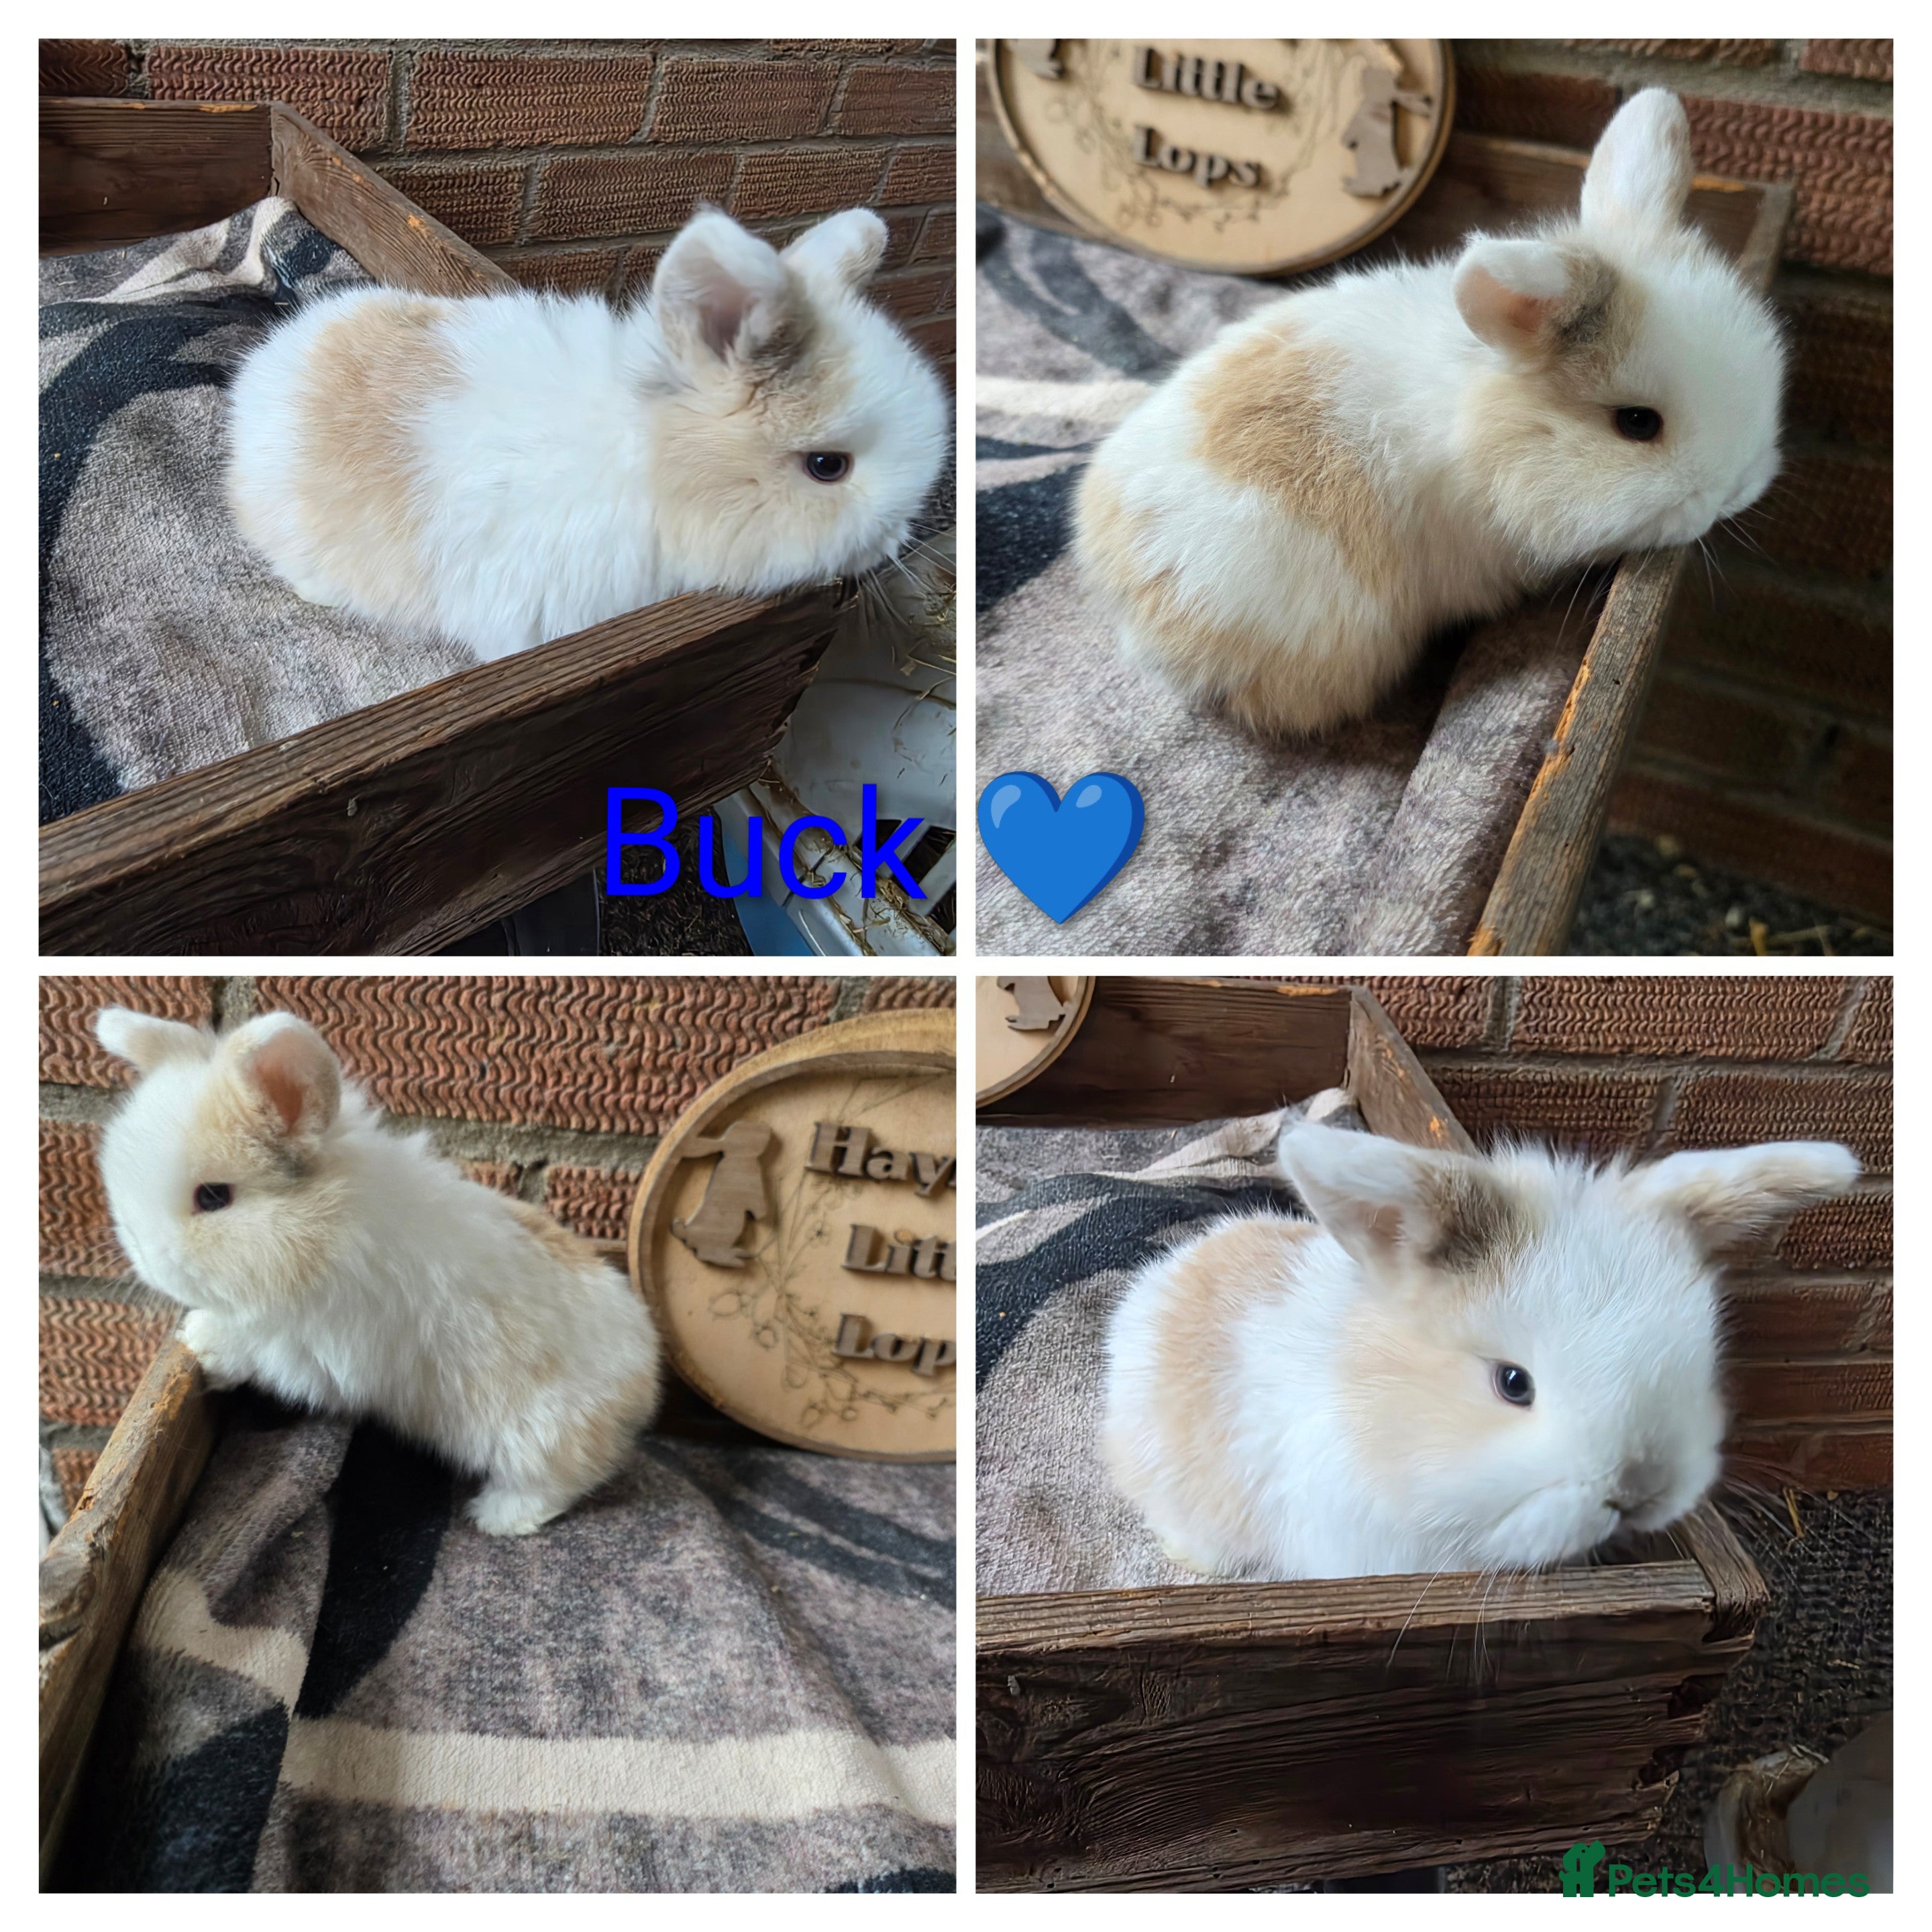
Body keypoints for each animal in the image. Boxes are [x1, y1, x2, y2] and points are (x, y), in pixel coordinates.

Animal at [93, 1006, 662, 1536]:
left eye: (213, 1196)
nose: (145, 1257)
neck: (328, 1229)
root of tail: (645, 1379)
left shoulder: (320, 1351)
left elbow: (254, 1347)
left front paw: (201, 1339)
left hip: (539, 1440)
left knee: (558, 1484)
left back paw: (496, 1518)